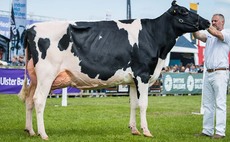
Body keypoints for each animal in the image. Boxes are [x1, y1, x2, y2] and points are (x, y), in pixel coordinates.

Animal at [19, 0, 210, 140]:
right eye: (184, 11)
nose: (207, 22)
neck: (154, 37)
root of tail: (31, 28)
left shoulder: (132, 80)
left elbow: (133, 104)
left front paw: (134, 130)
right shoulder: (142, 75)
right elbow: (143, 104)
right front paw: (146, 131)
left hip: (35, 78)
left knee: (28, 100)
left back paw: (30, 131)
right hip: (46, 74)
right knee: (38, 100)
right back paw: (43, 134)